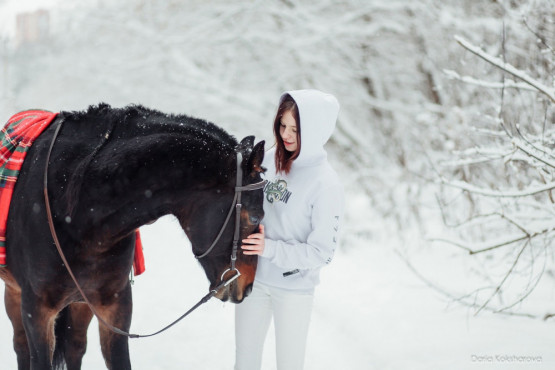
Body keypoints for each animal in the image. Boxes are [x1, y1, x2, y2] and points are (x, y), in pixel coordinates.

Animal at [0, 102, 266, 370]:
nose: (248, 287)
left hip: (80, 304)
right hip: (16, 294)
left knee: (75, 347)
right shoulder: (37, 312)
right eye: (255, 217)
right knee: (21, 347)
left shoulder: (115, 307)